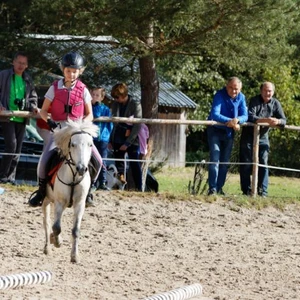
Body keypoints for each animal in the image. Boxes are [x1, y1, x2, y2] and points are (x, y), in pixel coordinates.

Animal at [42, 119, 98, 262]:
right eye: (73, 144)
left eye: (90, 145)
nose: (82, 168)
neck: (73, 176)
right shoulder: (59, 202)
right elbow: (56, 227)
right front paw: (57, 241)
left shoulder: (79, 204)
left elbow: (75, 230)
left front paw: (74, 256)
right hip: (46, 200)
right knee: (47, 222)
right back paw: (47, 247)